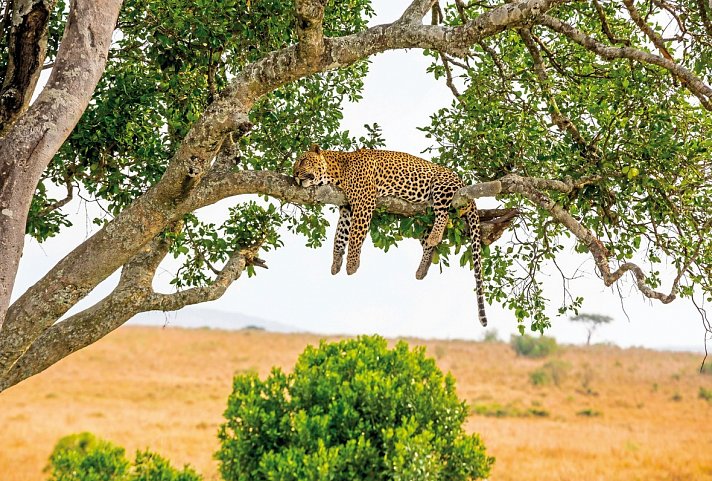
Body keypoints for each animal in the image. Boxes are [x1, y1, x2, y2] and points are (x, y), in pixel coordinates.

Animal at [292, 144, 486, 324]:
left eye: (303, 160)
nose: (294, 174)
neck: (336, 171)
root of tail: (463, 183)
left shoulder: (364, 202)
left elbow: (355, 236)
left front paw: (352, 265)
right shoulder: (347, 208)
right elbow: (339, 237)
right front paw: (336, 263)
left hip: (441, 185)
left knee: (444, 214)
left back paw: (435, 236)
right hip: (423, 218)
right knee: (428, 244)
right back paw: (422, 268)